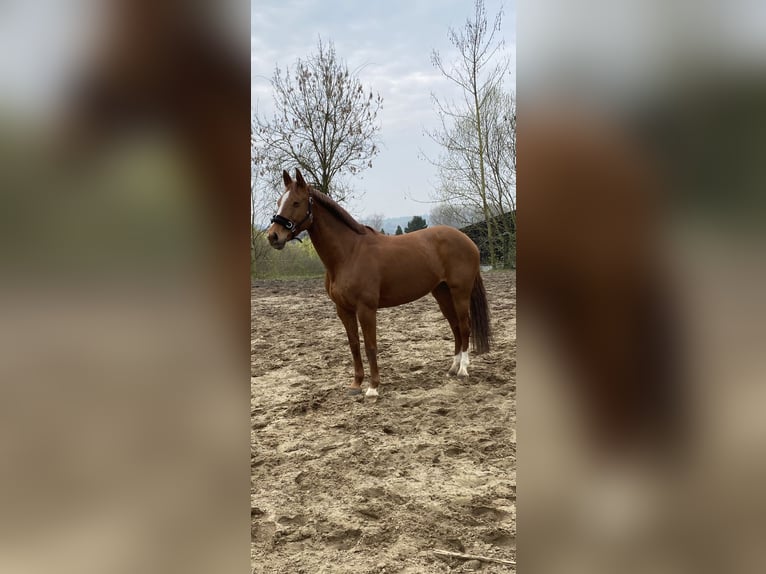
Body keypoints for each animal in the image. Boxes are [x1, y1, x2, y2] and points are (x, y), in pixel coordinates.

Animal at [267, 169, 492, 397]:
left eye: (296, 202)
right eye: (279, 201)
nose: (273, 236)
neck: (349, 254)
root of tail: (467, 240)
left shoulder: (366, 309)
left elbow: (370, 346)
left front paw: (373, 387)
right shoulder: (343, 310)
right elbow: (354, 345)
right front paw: (356, 384)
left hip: (460, 292)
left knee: (464, 326)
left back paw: (463, 369)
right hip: (442, 292)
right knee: (455, 326)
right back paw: (453, 368)